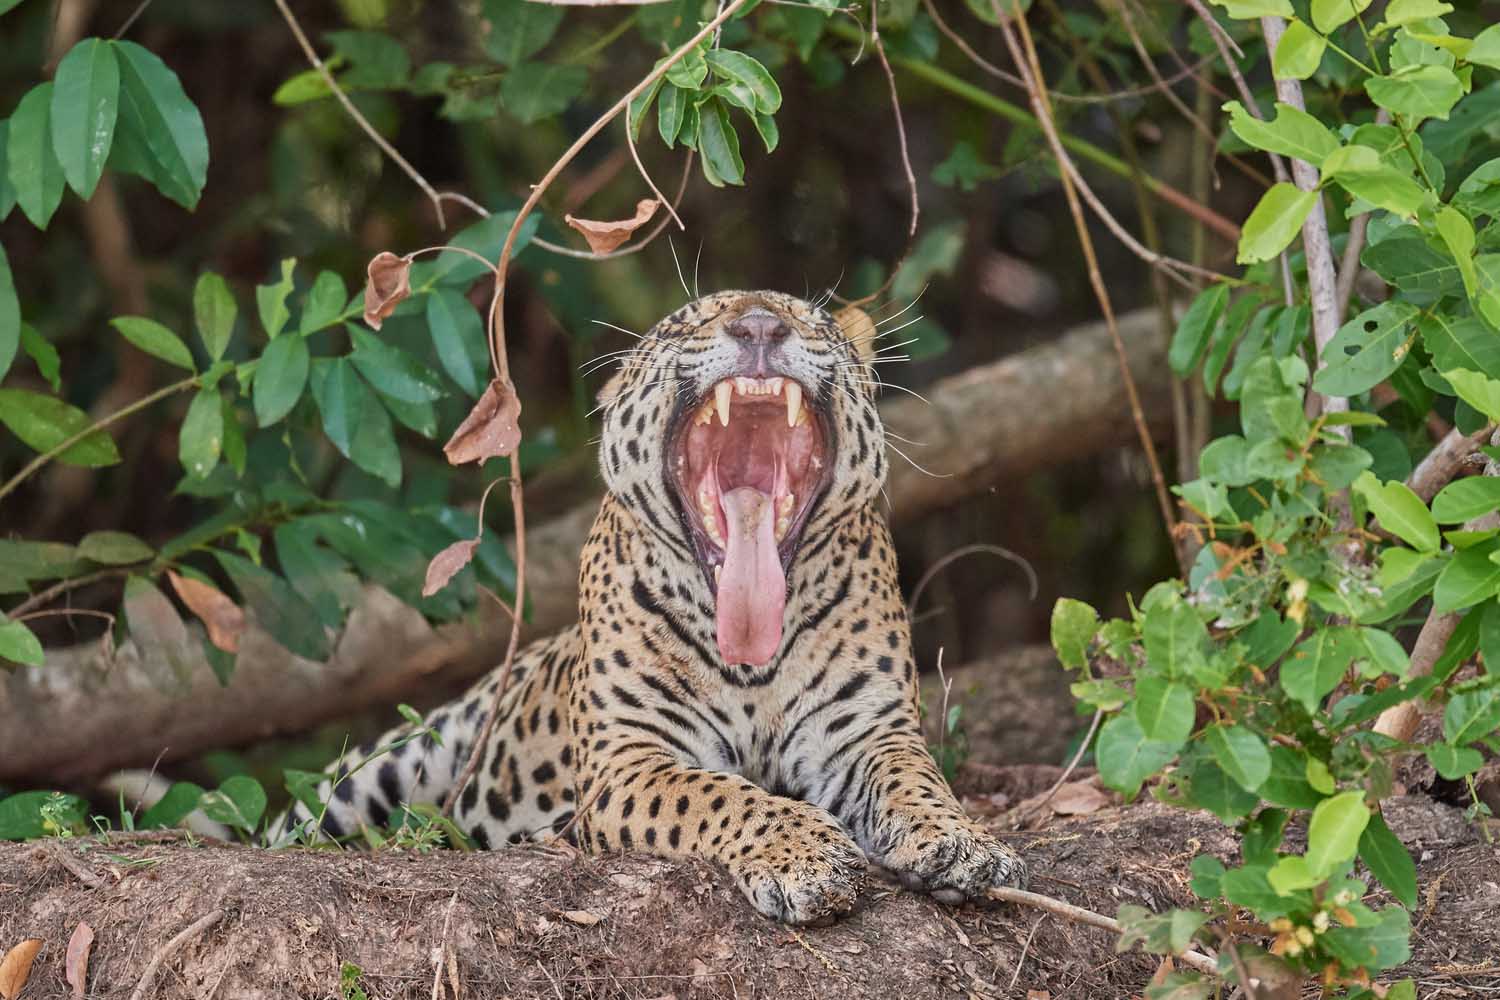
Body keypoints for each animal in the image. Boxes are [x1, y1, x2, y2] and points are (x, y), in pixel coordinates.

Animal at [276, 290, 1026, 924]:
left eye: (811, 319)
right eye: (689, 320)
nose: (760, 326)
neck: (752, 656)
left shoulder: (870, 732)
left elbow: (915, 780)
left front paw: (964, 842)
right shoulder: (629, 759)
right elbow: (718, 792)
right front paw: (807, 854)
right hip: (385, 763)